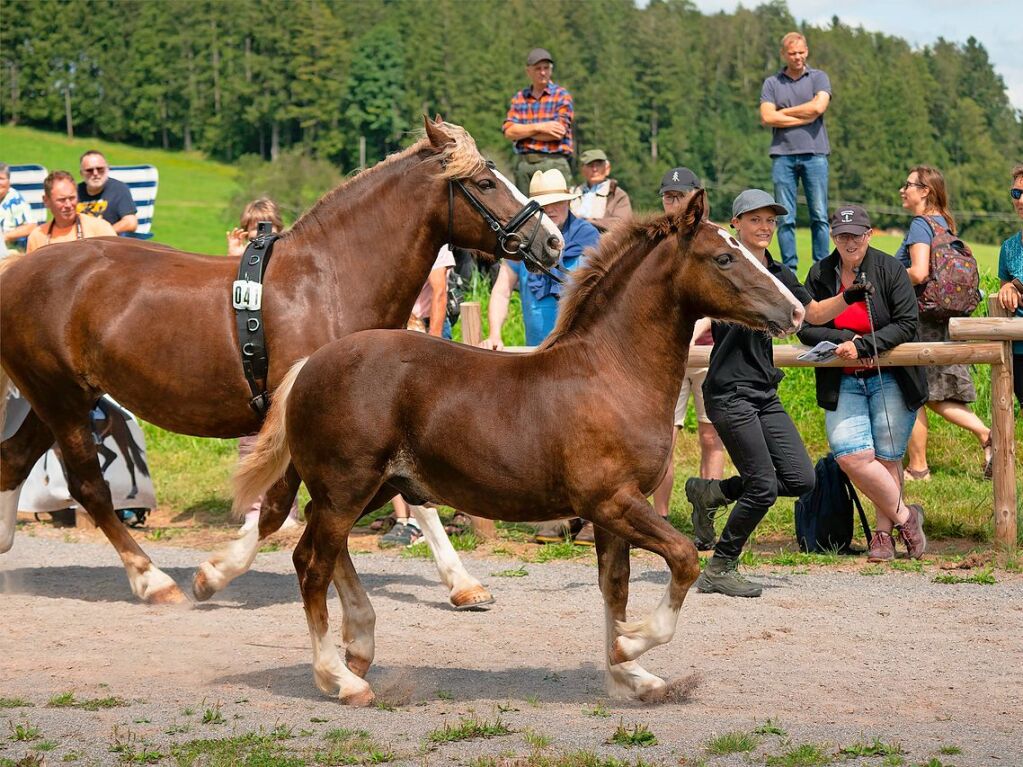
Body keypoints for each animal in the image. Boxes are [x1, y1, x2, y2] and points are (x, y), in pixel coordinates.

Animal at [0, 118, 560, 605]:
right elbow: (273, 511)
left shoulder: (385, 422)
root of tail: (17, 272)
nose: (551, 240)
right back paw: (152, 579)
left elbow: (418, 501)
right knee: (88, 487)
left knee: (14, 461)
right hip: (62, 400)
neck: (330, 279)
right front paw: (214, 573)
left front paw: (463, 583)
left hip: (58, 400)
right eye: (485, 182)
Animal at [232, 193, 806, 707]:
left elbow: (614, 587)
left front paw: (631, 676)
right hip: (347, 486)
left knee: (321, 548)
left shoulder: (612, 513)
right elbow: (684, 558)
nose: (795, 310)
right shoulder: (613, 501)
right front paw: (632, 645)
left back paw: (359, 648)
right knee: (312, 565)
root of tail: (309, 365)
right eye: (724, 256)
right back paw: (341, 679)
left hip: (367, 489)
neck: (612, 373)